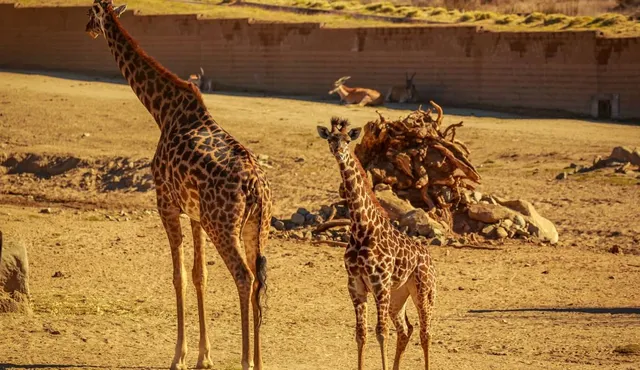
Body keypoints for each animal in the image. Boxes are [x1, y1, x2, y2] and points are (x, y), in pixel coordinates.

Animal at [85, 1, 270, 368]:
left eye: (90, 12)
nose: (87, 29)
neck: (162, 110)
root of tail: (255, 189)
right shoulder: (195, 214)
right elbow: (199, 275)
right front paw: (204, 356)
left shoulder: (166, 204)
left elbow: (178, 276)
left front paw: (179, 356)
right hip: (256, 227)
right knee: (260, 281)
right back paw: (259, 361)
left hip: (224, 227)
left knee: (244, 277)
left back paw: (245, 361)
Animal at [318, 118, 438, 370]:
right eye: (331, 138)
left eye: (347, 139)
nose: (338, 151)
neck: (362, 227)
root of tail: (428, 257)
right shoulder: (356, 285)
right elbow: (360, 334)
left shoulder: (379, 283)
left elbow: (381, 333)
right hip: (398, 295)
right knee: (406, 329)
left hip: (424, 290)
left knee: (425, 332)